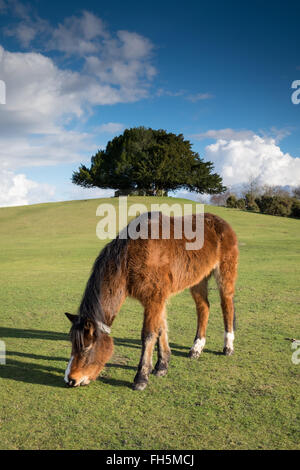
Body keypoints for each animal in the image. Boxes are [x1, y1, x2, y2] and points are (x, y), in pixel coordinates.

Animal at [63, 212, 239, 390]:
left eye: (86, 347)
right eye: (72, 343)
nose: (70, 379)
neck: (130, 256)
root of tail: (220, 221)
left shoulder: (154, 299)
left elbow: (148, 335)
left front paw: (141, 377)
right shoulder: (157, 300)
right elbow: (160, 329)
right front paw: (162, 366)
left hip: (225, 273)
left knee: (227, 305)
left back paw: (228, 346)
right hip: (199, 280)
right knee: (203, 307)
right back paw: (196, 348)